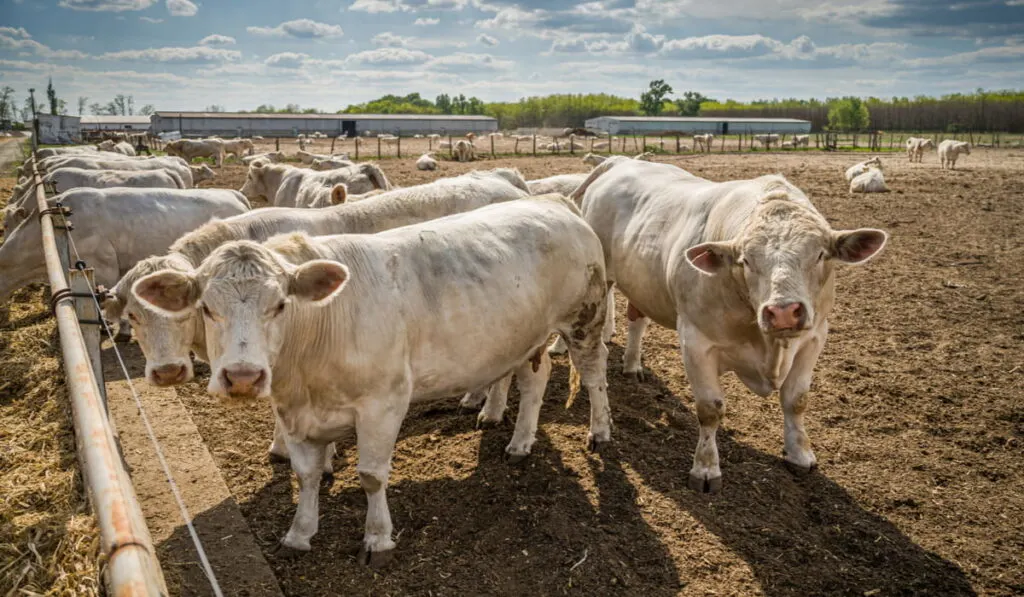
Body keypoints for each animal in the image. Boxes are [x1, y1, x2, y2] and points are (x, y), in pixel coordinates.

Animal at [126, 197, 606, 565]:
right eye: (206, 308)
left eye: (280, 305)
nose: (243, 376)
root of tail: (551, 201)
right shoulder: (294, 411)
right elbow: (306, 475)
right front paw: (300, 533)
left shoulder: (383, 401)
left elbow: (372, 476)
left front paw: (378, 538)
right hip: (525, 337)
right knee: (534, 380)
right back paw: (519, 441)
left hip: (584, 319)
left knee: (594, 371)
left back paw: (599, 432)